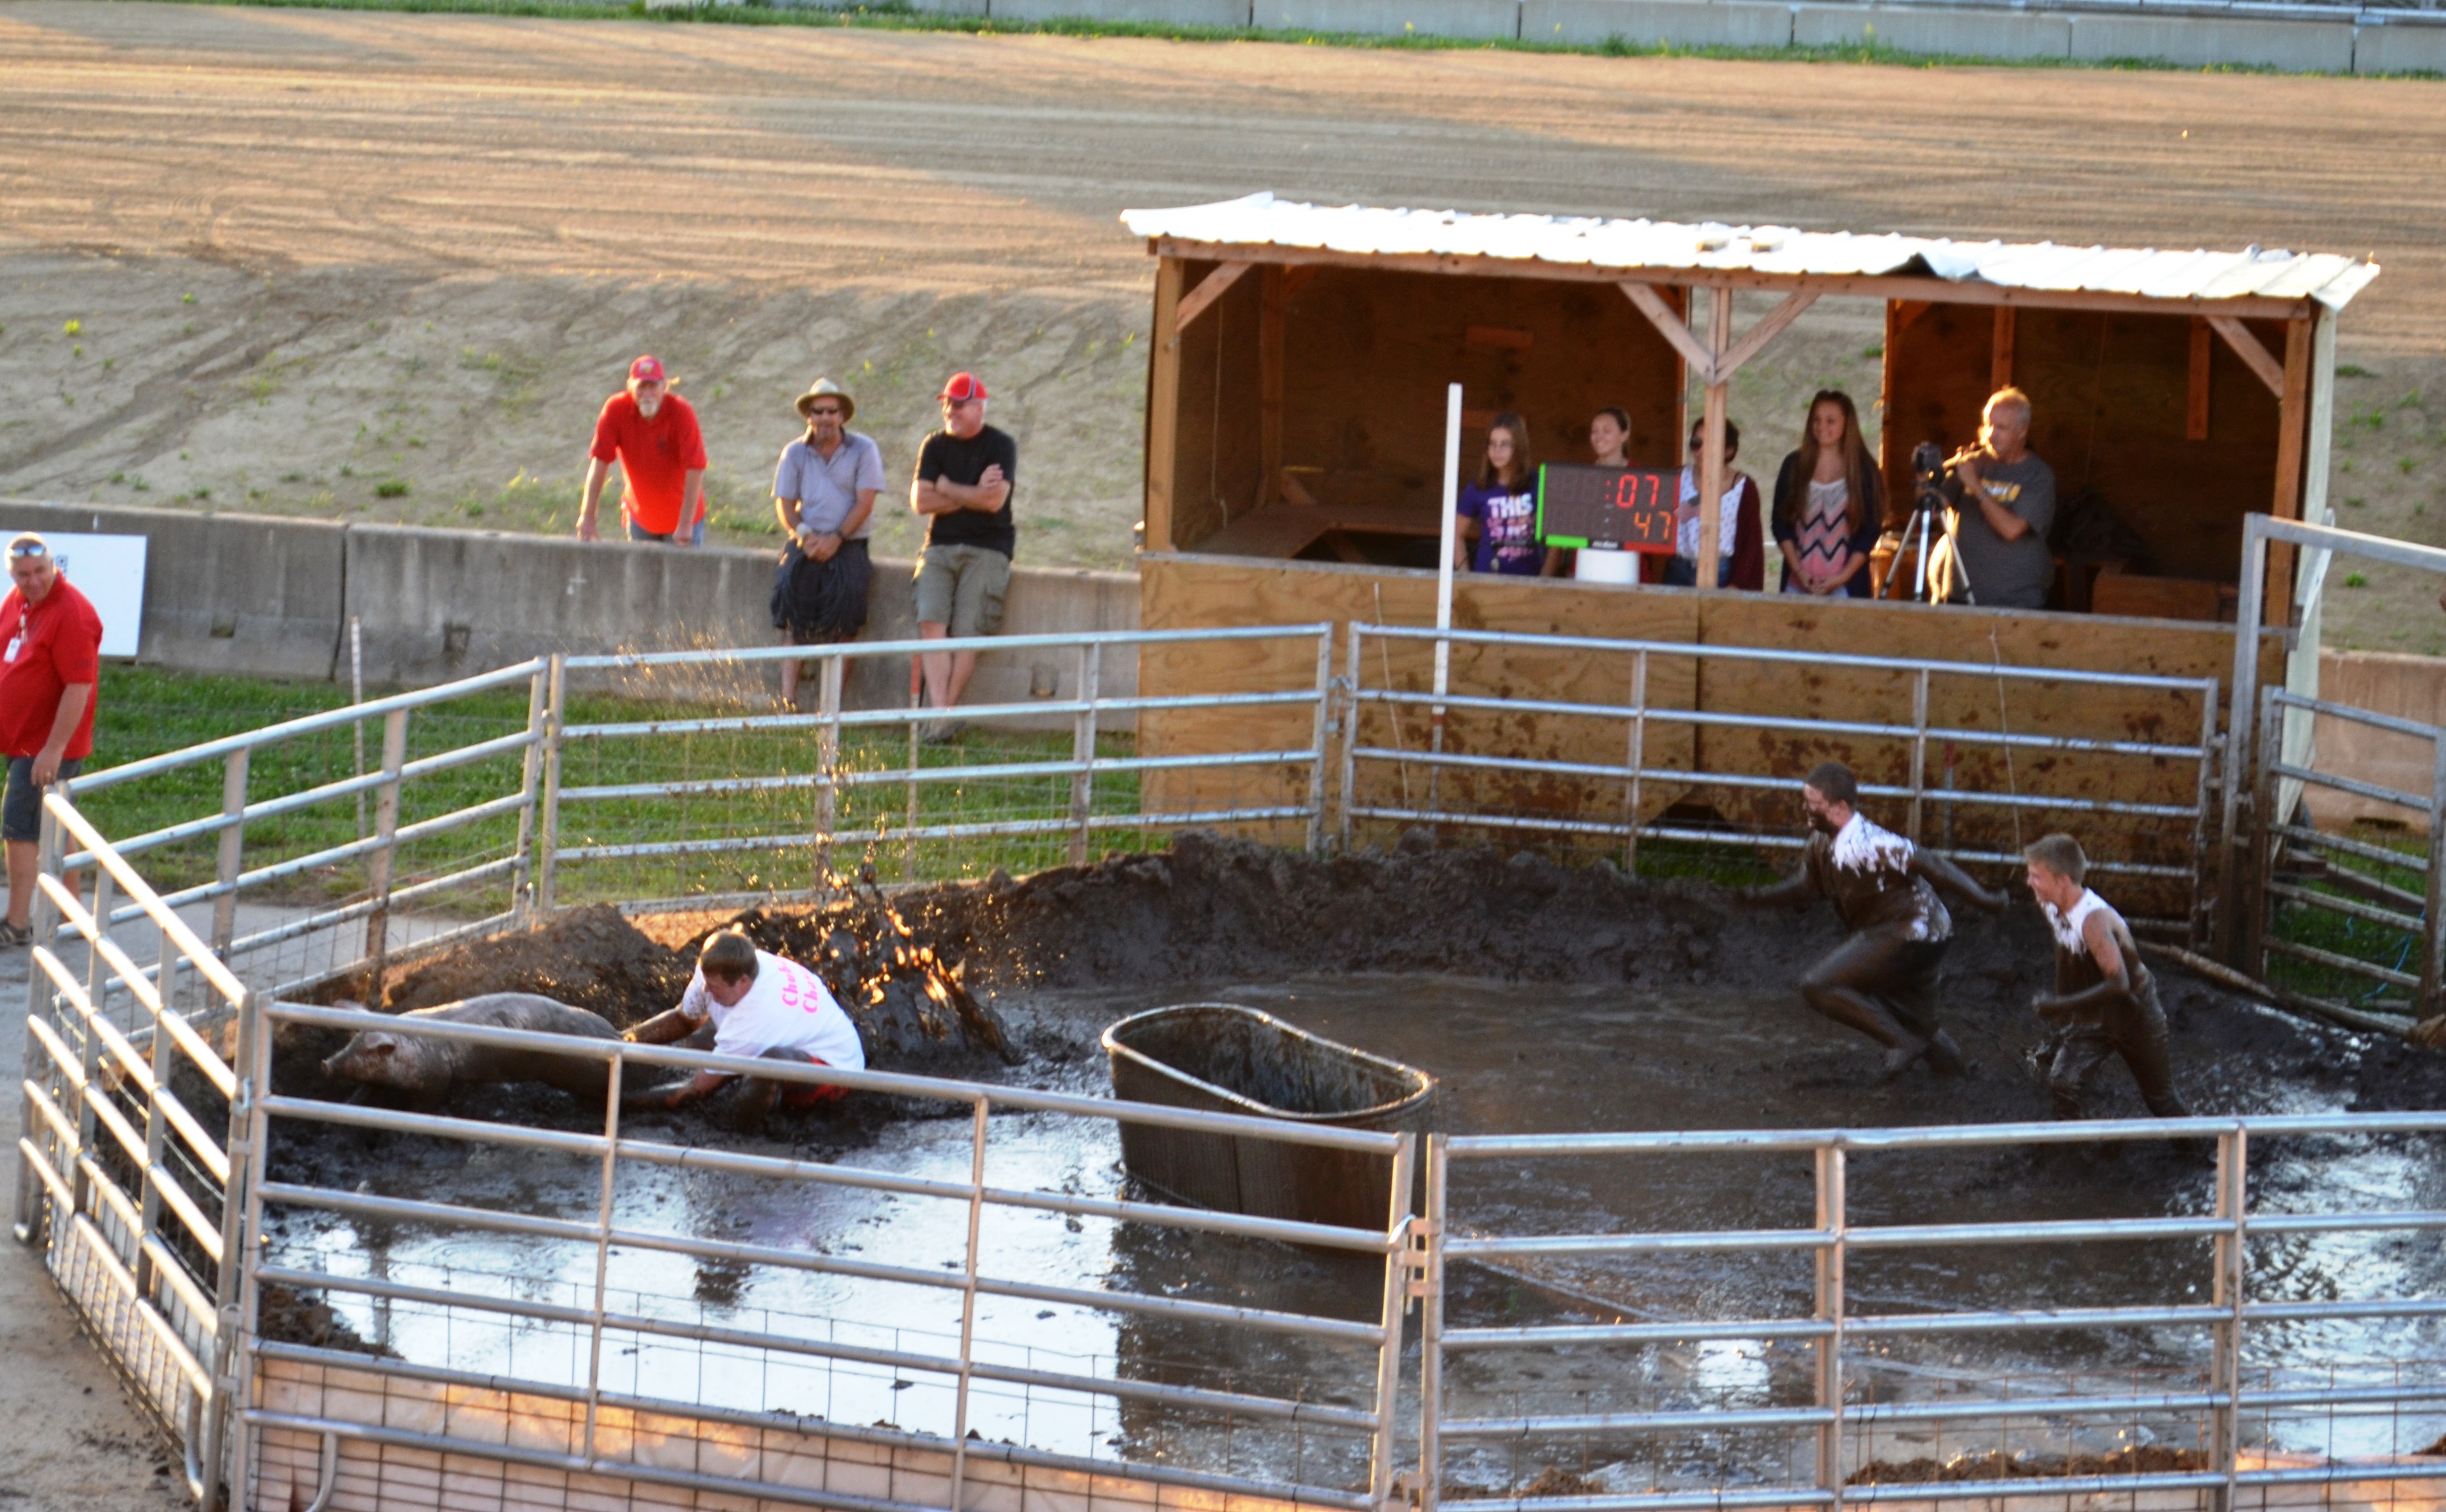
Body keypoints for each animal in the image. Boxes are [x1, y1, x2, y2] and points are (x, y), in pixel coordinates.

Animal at [320, 988, 626, 1105]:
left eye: (365, 1051)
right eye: (352, 1043)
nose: (326, 1063)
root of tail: (617, 1034)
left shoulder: (437, 1079)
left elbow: (425, 1104)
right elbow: (365, 1091)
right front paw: (346, 1106)